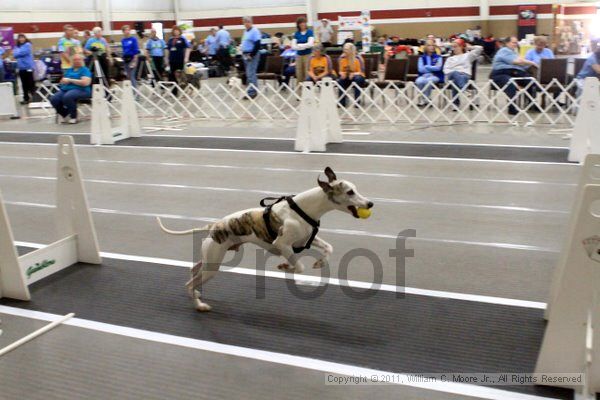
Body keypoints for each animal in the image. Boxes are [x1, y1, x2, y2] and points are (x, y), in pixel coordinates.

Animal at [157, 167, 372, 310]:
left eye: (356, 189)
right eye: (350, 192)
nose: (370, 203)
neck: (303, 209)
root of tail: (213, 226)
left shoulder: (304, 241)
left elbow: (329, 248)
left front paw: (319, 262)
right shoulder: (283, 245)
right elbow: (299, 266)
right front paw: (285, 266)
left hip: (210, 259)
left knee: (193, 271)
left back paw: (196, 294)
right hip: (213, 264)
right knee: (190, 282)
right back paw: (200, 305)